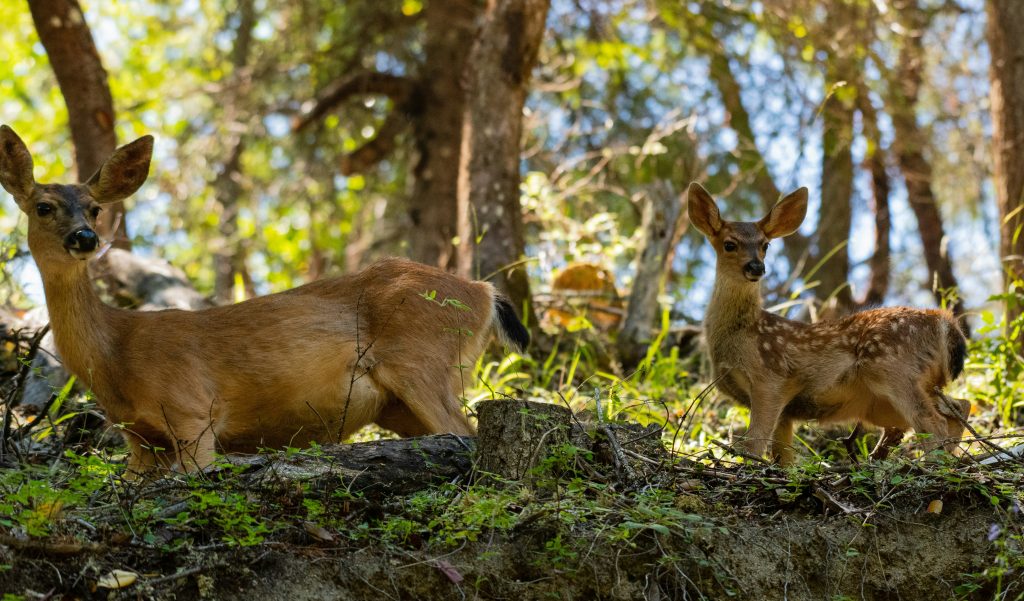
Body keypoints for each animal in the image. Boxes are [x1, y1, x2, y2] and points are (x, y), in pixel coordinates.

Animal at [0, 125, 529, 476]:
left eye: (93, 208)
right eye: (43, 207)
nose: (85, 238)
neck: (115, 354)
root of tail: (483, 292)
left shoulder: (193, 411)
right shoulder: (139, 439)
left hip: (423, 359)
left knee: (466, 433)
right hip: (398, 404)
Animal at [687, 182, 969, 465]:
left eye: (765, 245)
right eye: (729, 244)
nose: (756, 267)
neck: (742, 333)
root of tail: (943, 321)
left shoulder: (770, 378)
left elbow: (753, 445)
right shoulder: (786, 411)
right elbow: (783, 457)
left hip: (893, 367)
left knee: (933, 423)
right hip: (905, 391)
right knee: (959, 407)